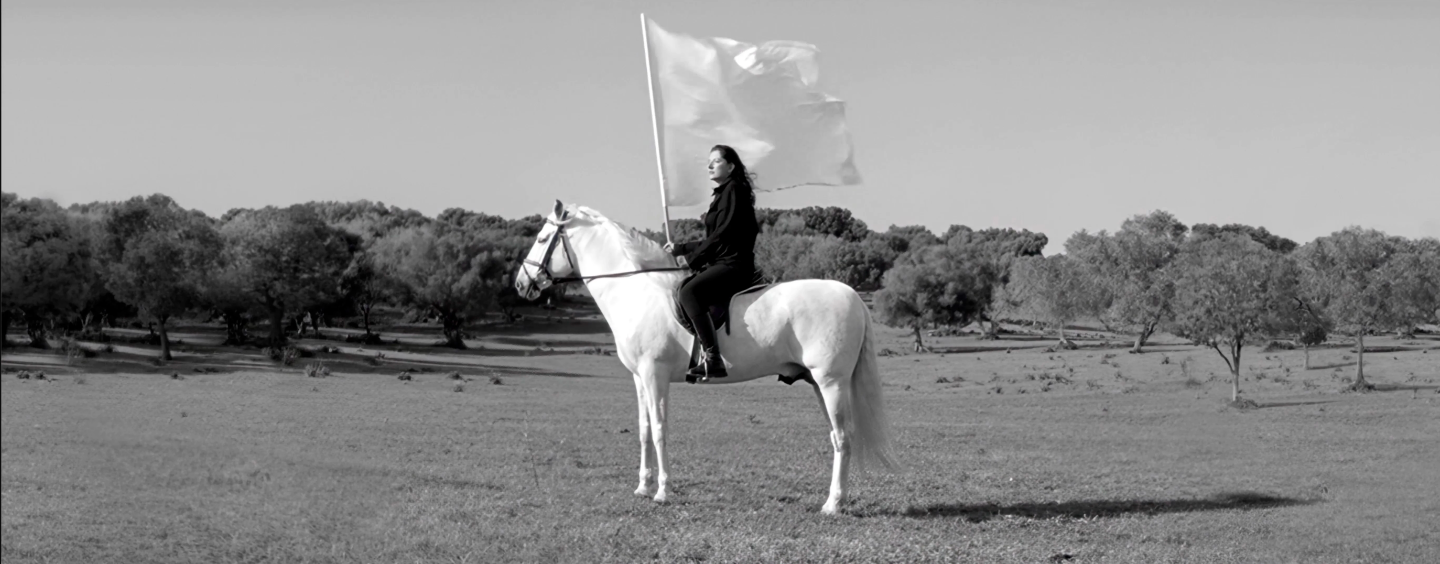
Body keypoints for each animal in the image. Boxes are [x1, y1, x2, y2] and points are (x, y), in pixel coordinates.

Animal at [512, 199, 892, 512]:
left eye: (543, 239)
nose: (520, 283)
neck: (636, 292)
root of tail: (851, 295)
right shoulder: (639, 378)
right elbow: (644, 429)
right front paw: (642, 487)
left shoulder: (654, 375)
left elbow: (660, 429)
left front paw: (662, 491)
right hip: (818, 383)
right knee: (837, 437)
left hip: (831, 383)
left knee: (844, 437)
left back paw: (833, 504)